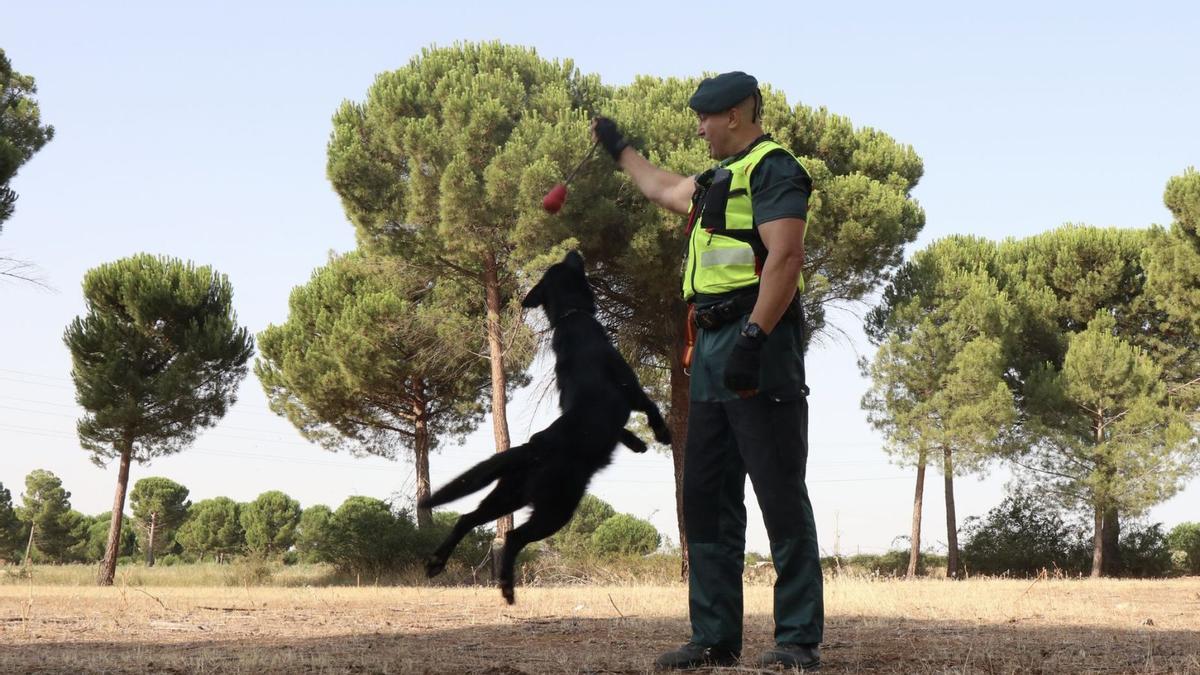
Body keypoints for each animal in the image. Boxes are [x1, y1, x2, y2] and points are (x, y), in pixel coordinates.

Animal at [417, 249, 672, 600]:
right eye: (564, 264)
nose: (574, 250)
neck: (569, 316)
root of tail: (532, 448)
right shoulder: (629, 388)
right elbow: (651, 407)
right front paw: (661, 434)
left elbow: (622, 430)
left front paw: (636, 443)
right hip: (556, 508)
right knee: (513, 538)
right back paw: (506, 586)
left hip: (508, 495)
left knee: (467, 519)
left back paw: (438, 563)